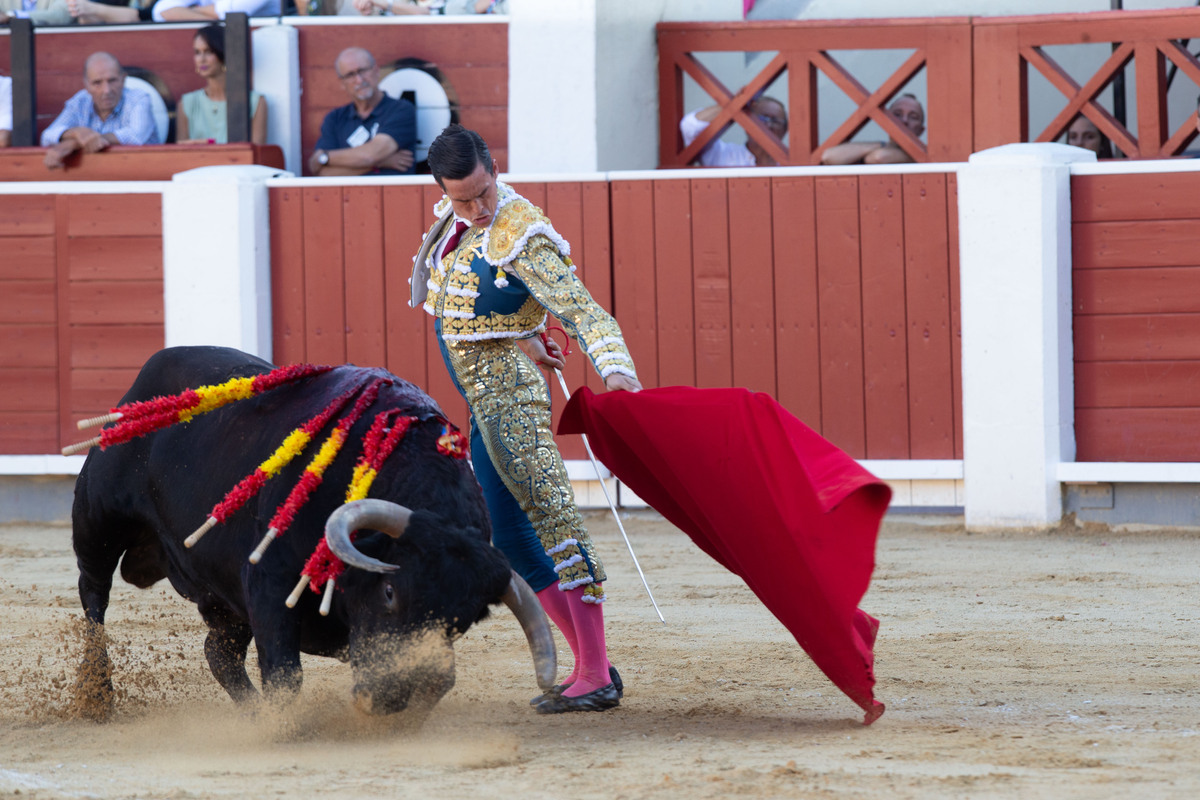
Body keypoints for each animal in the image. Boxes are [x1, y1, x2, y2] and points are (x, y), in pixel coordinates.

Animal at [73, 347, 556, 724]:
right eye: (389, 592)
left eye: (463, 622)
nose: (390, 698)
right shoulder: (268, 581)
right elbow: (285, 672)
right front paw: (286, 729)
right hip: (97, 521)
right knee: (94, 597)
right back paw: (96, 697)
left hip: (222, 597)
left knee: (219, 651)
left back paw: (252, 714)